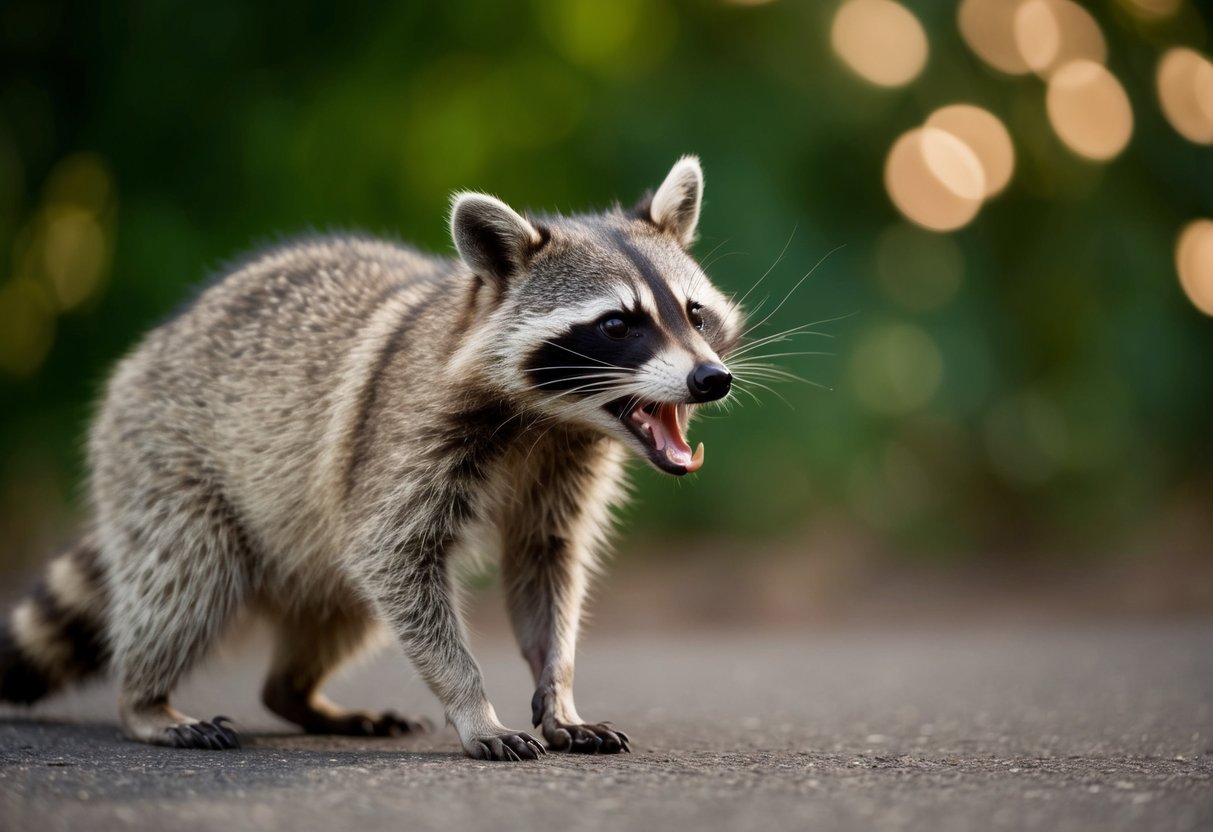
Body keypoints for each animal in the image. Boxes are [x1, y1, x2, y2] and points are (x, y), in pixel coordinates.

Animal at [0, 156, 743, 759]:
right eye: (617, 324)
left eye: (693, 313)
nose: (711, 379)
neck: (549, 416)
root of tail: (149, 349)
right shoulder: (403, 438)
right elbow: (395, 556)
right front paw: (473, 704)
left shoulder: (562, 470)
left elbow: (545, 564)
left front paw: (556, 688)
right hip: (160, 453)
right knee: (188, 574)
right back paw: (145, 700)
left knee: (337, 609)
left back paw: (296, 694)